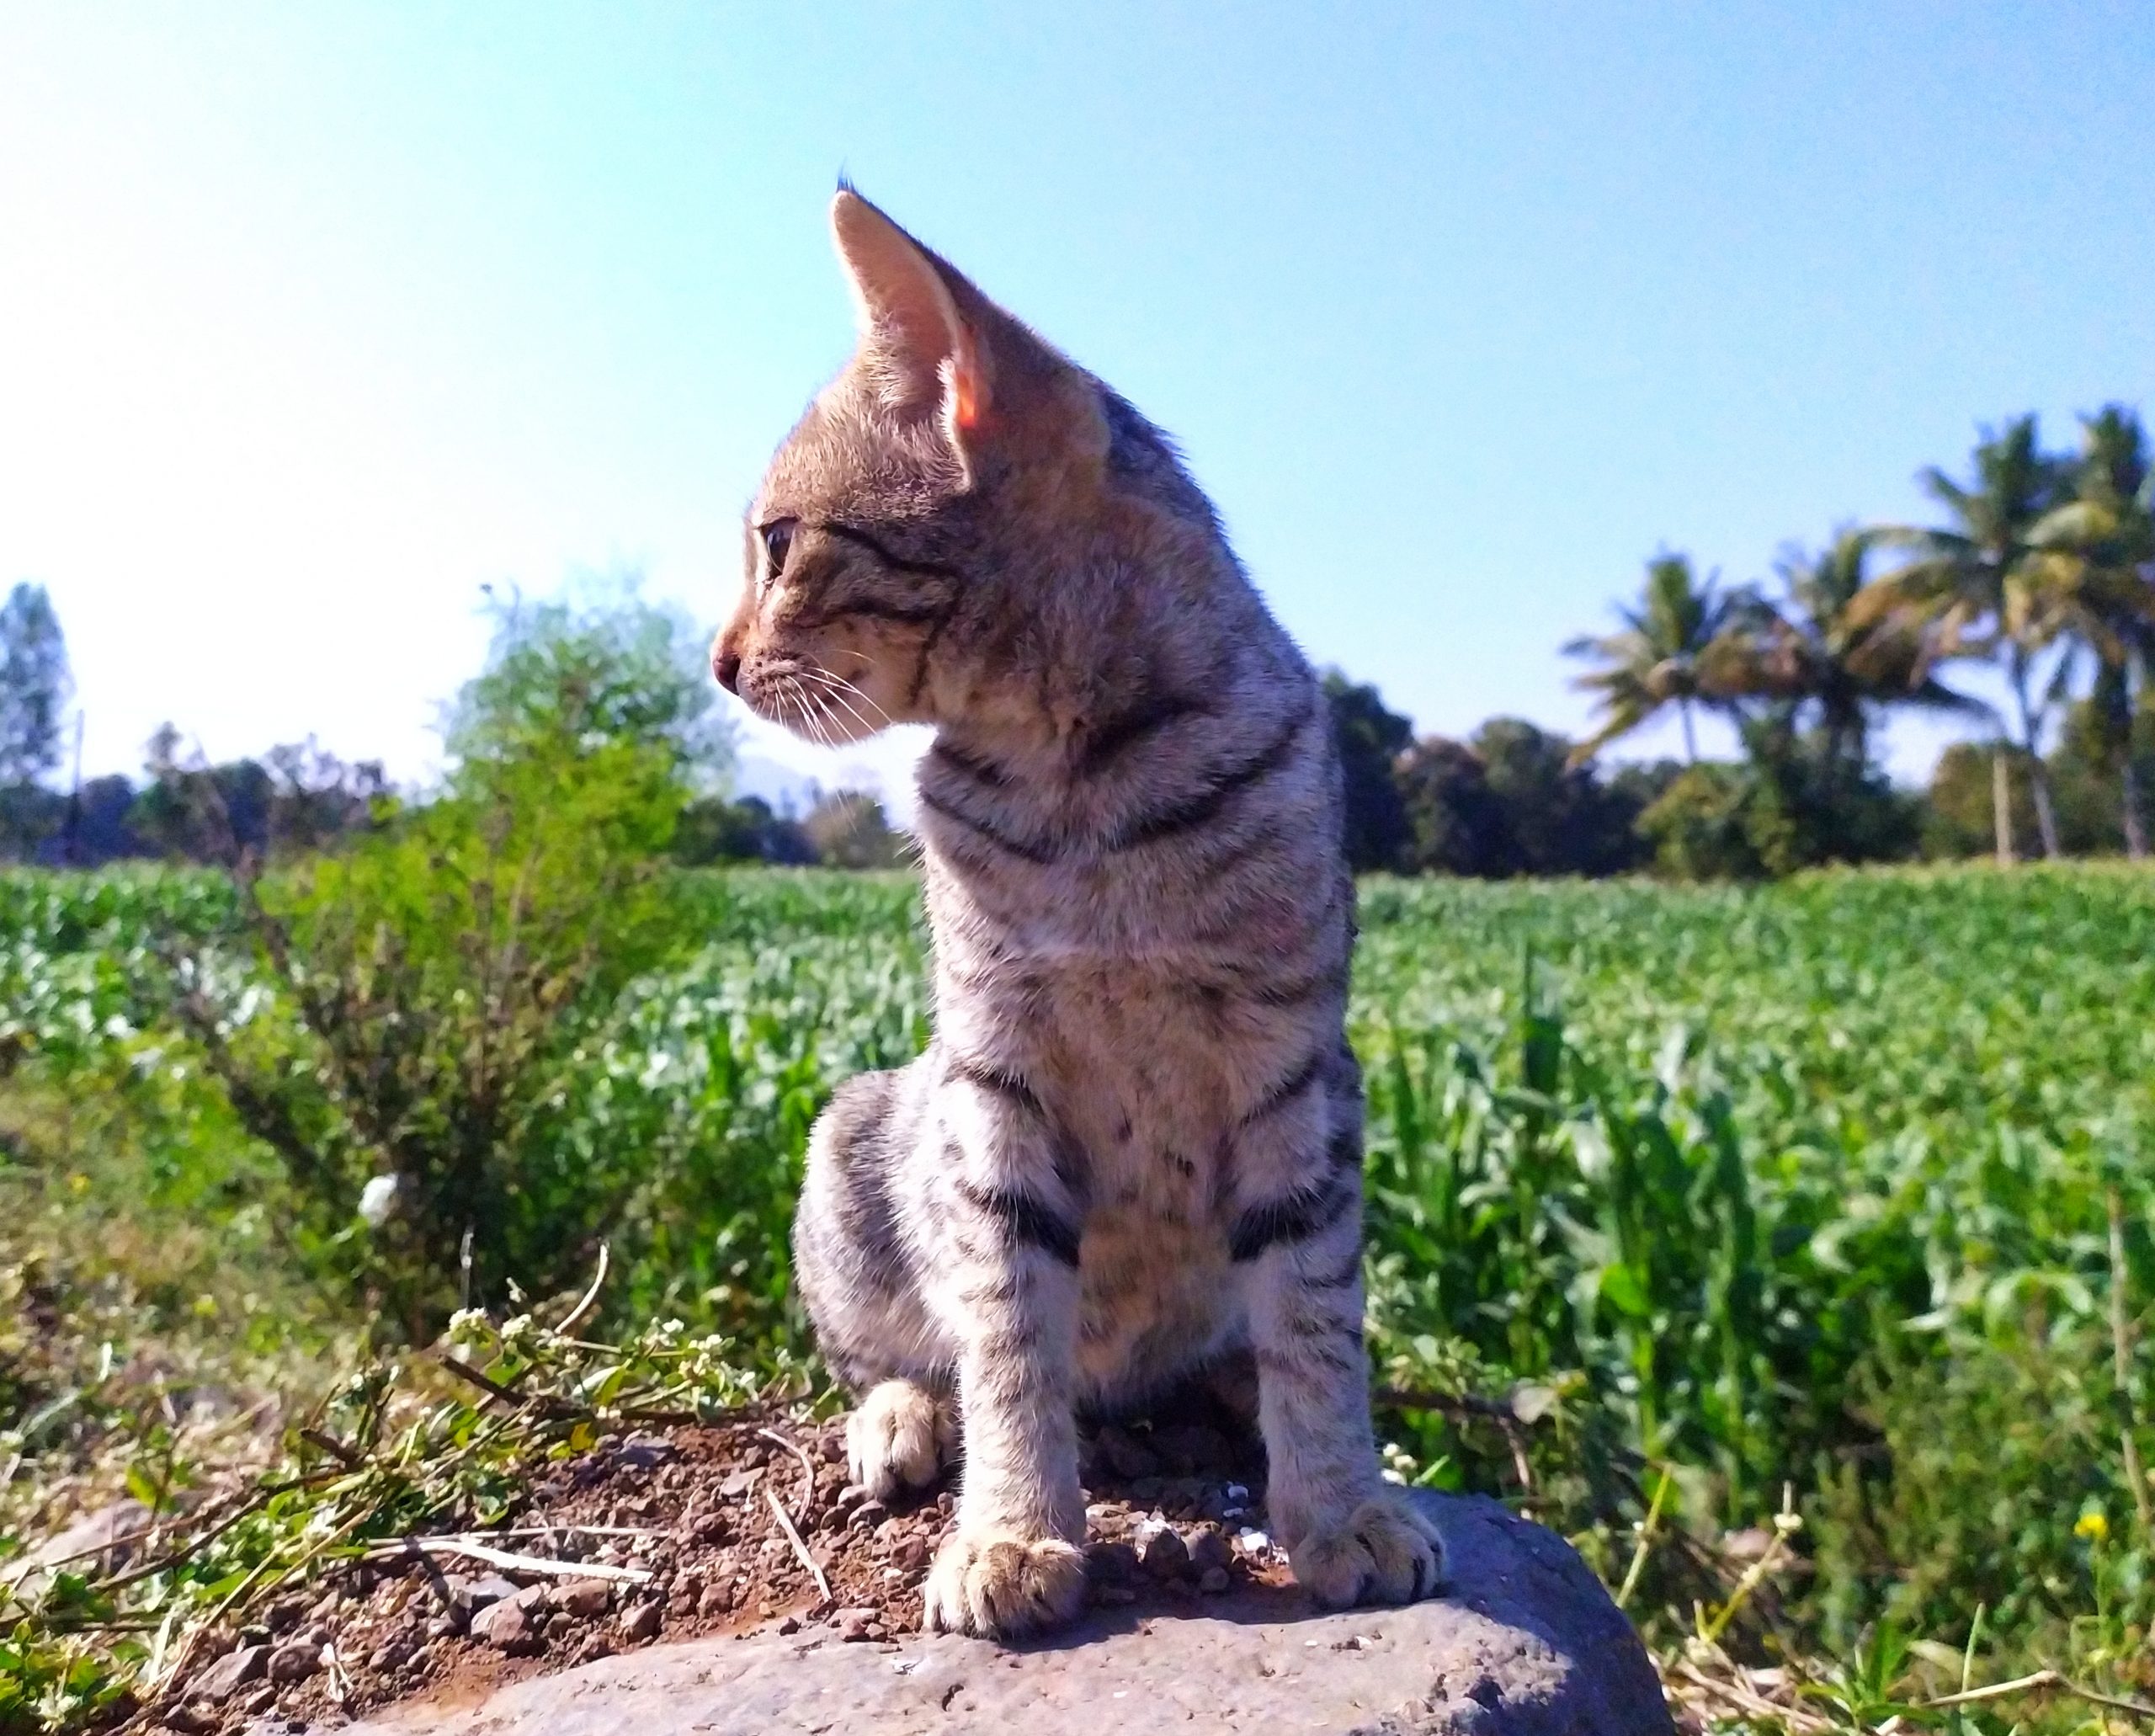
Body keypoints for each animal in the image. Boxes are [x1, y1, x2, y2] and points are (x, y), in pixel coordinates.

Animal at [715, 193, 1439, 1638]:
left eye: (774, 544)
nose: (714, 661)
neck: (1080, 779)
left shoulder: (1296, 1063)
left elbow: (1316, 1313)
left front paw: (1345, 1504)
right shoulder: (994, 1065)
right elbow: (1005, 1327)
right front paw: (1010, 1531)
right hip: (854, 1143)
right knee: (876, 1351)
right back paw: (898, 1419)